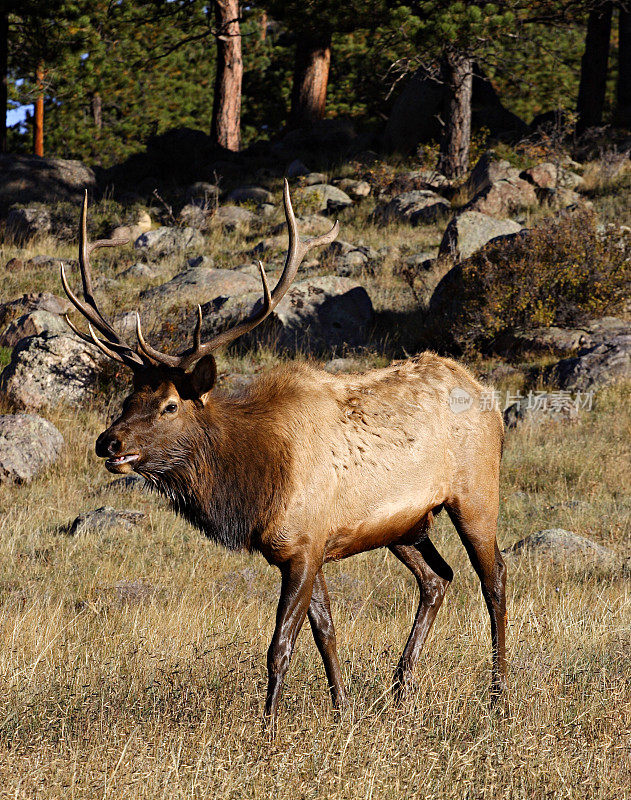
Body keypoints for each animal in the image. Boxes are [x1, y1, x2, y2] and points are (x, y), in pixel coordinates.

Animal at [60, 183, 508, 732]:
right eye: (128, 398)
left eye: (169, 405)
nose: (109, 443)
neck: (255, 486)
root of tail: (489, 396)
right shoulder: (304, 547)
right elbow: (325, 632)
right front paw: (343, 713)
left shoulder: (304, 545)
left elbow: (280, 646)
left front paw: (268, 729)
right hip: (406, 524)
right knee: (437, 578)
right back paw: (400, 691)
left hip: (475, 493)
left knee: (494, 579)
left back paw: (499, 698)